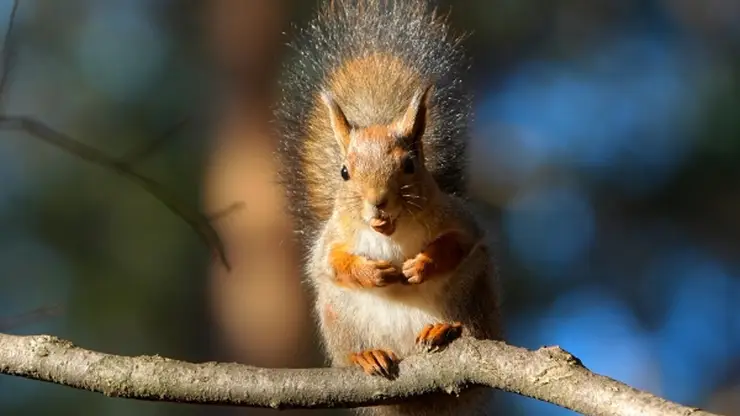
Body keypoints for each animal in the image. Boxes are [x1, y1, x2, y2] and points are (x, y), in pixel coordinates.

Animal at [276, 0, 502, 416]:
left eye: (410, 164)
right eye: (344, 172)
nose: (377, 202)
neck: (392, 234)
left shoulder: (460, 221)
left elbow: (458, 243)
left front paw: (421, 264)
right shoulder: (332, 238)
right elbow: (331, 261)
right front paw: (371, 272)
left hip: (471, 290)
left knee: (470, 323)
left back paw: (445, 330)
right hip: (338, 312)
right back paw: (367, 355)